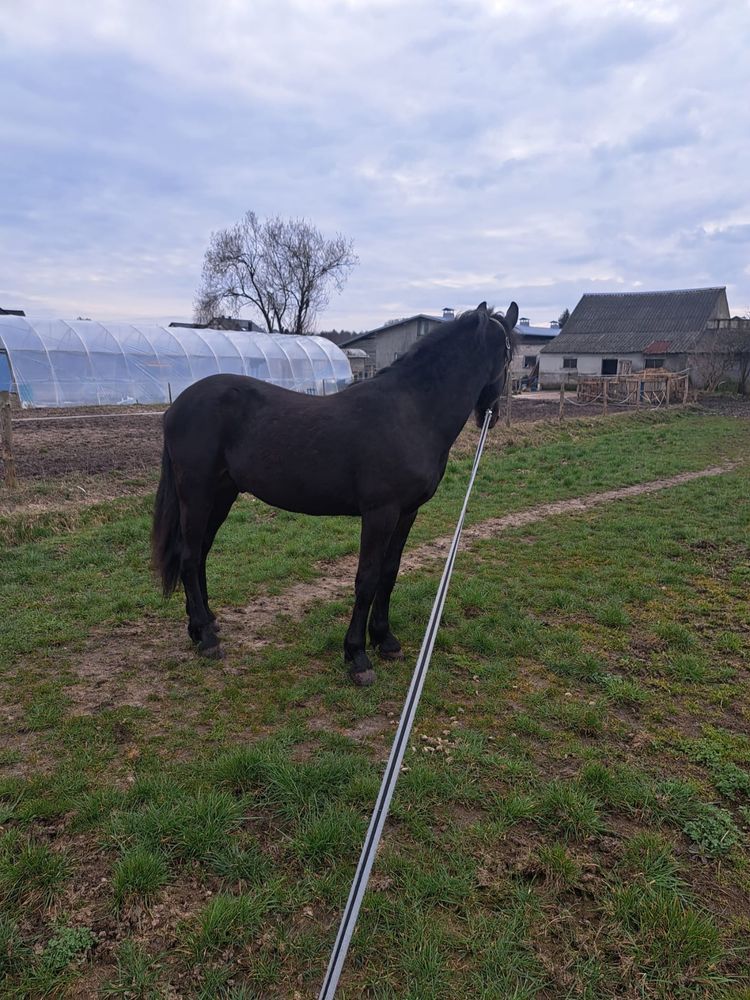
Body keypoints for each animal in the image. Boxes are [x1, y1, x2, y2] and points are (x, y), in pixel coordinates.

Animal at [153, 300, 516, 684]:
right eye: (509, 356)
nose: (492, 416)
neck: (412, 411)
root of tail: (175, 407)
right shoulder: (380, 513)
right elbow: (367, 578)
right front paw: (357, 655)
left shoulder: (407, 512)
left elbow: (390, 572)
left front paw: (386, 640)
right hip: (197, 495)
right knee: (189, 556)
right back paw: (207, 639)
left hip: (221, 495)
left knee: (201, 554)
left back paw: (203, 625)